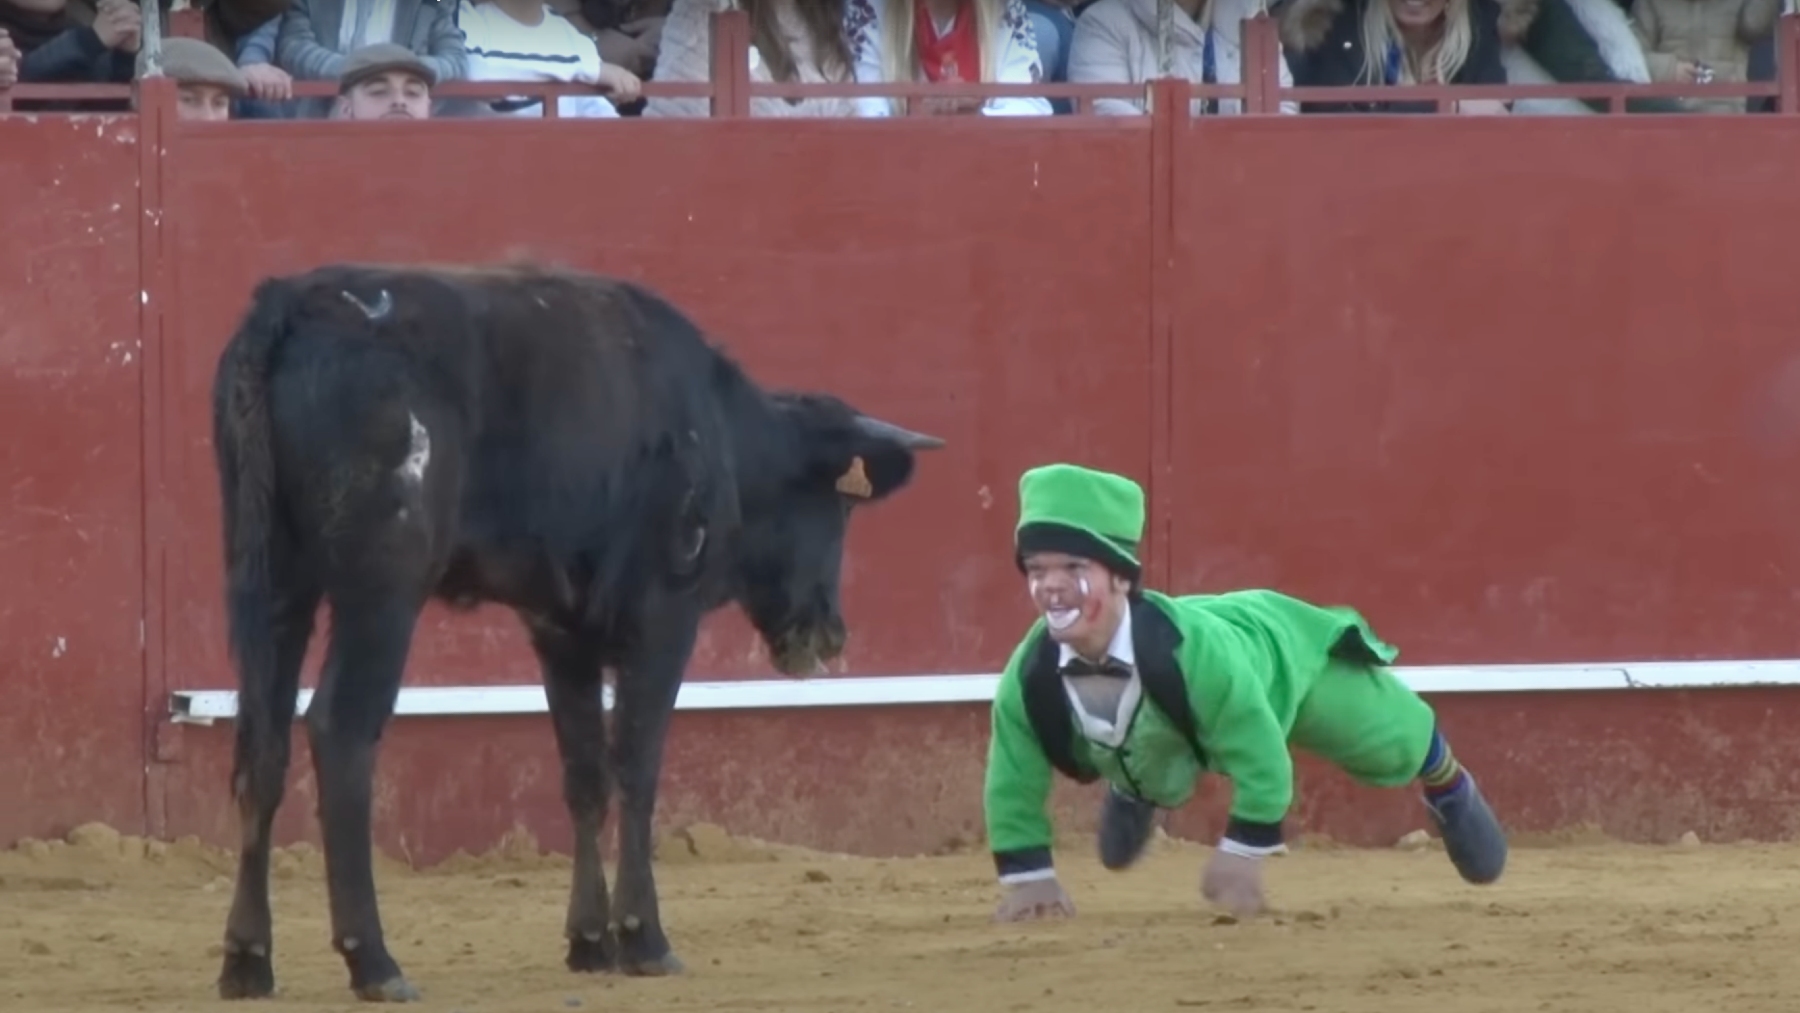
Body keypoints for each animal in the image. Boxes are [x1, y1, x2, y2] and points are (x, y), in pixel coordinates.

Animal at [206, 257, 950, 1000]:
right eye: (840, 508)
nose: (832, 633)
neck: (720, 431)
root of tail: (292, 306)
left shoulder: (560, 631)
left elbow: (585, 774)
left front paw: (590, 940)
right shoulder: (664, 616)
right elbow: (638, 767)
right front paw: (644, 938)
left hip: (273, 580)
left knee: (262, 743)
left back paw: (247, 958)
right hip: (381, 592)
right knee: (341, 728)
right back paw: (375, 961)